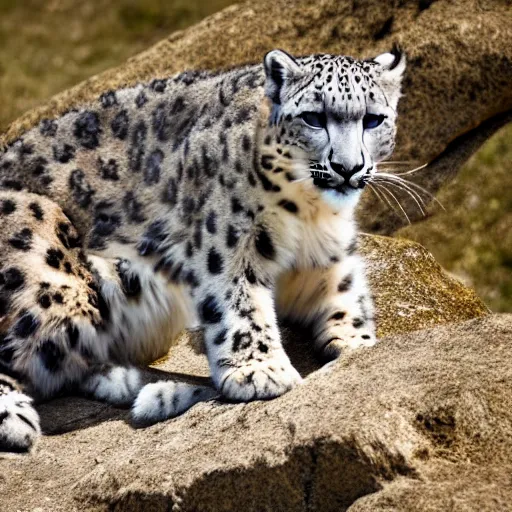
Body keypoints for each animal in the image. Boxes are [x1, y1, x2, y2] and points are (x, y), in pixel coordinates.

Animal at [0, 46, 406, 450]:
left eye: (373, 119)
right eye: (314, 117)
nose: (347, 167)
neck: (308, 212)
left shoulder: (327, 255)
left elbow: (345, 293)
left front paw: (356, 340)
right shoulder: (226, 242)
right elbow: (240, 301)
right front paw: (260, 372)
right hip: (50, 274)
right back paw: (18, 420)